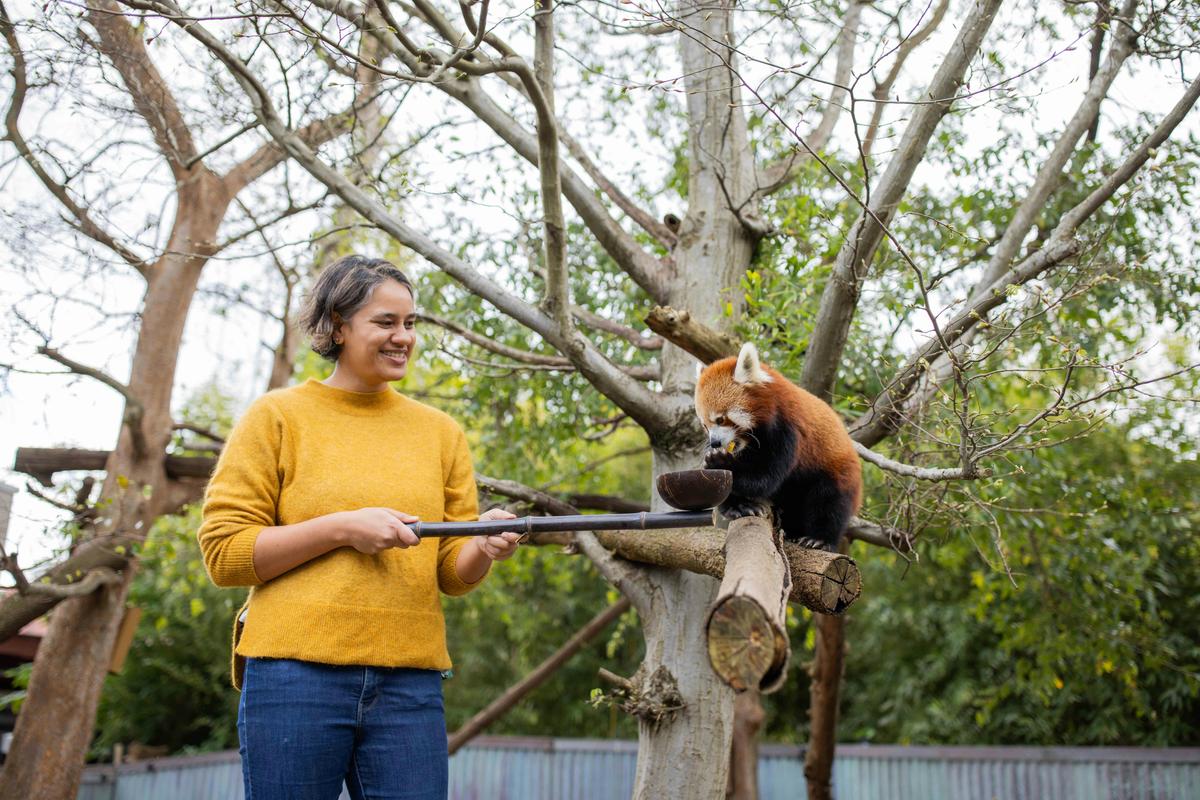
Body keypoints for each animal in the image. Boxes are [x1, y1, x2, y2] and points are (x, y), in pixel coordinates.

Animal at [694, 342, 862, 551]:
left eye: (720, 419)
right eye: (705, 425)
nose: (714, 442)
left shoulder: (787, 430)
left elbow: (766, 477)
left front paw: (719, 462)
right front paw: (739, 506)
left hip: (838, 470)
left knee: (831, 503)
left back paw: (819, 539)